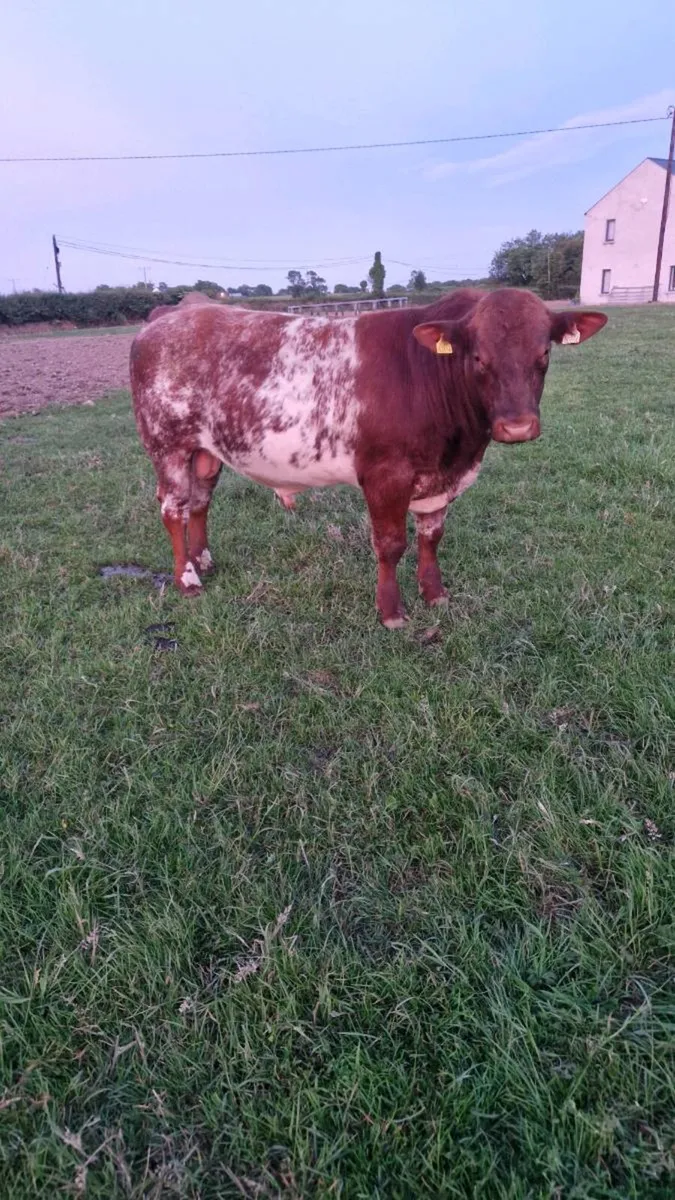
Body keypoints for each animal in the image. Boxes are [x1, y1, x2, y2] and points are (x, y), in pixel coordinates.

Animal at [129, 288, 607, 628]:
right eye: (478, 357)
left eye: (544, 353)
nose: (517, 426)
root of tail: (165, 320)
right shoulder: (385, 475)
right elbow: (391, 544)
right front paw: (391, 612)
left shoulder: (439, 478)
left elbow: (431, 536)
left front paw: (435, 594)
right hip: (167, 444)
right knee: (173, 507)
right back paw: (187, 579)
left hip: (205, 450)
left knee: (200, 500)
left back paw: (203, 560)